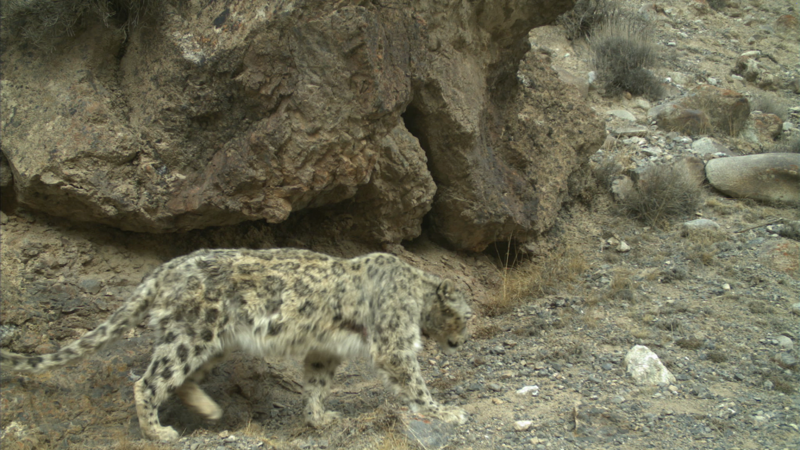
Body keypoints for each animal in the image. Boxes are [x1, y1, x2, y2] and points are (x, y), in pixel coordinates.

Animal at [0, 248, 472, 441]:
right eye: (467, 315)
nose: (461, 340)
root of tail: (164, 269)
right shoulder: (394, 343)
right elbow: (415, 383)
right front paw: (444, 411)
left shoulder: (324, 351)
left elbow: (316, 385)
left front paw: (320, 419)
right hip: (189, 336)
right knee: (149, 382)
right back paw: (159, 432)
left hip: (213, 343)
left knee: (183, 380)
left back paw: (209, 411)